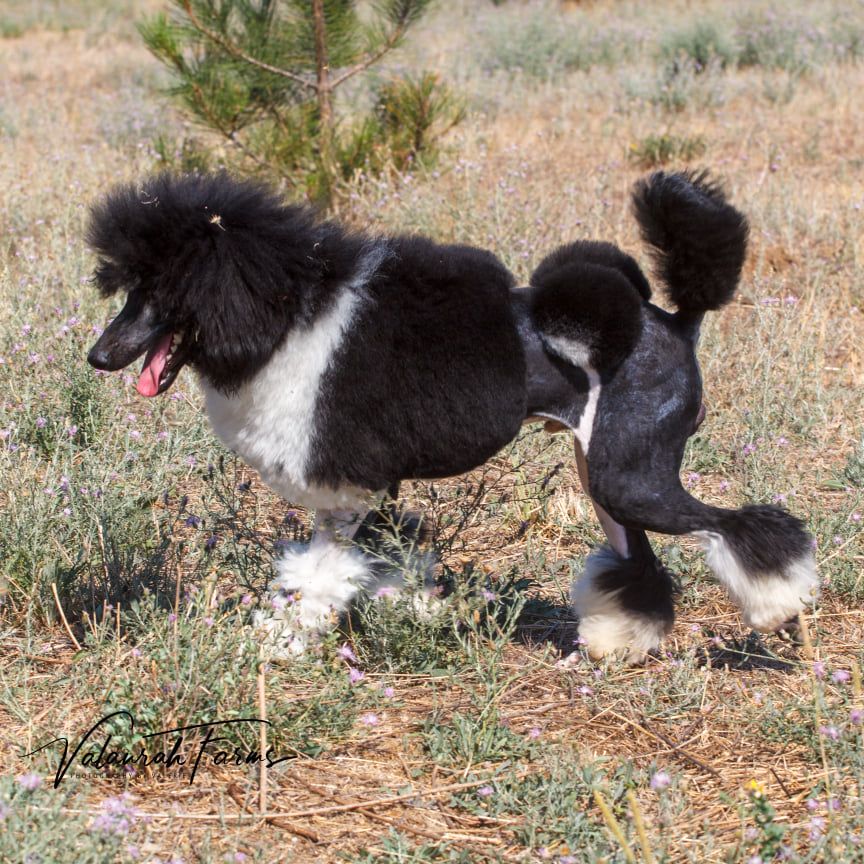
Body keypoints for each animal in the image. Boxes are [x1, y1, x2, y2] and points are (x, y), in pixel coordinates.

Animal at [86, 170, 818, 661]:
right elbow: (390, 555)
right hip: (603, 478)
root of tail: (674, 322)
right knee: (638, 564)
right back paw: (616, 644)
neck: (285, 318)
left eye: (165, 292)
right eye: (130, 288)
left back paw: (780, 606)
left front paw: (287, 640)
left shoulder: (347, 484)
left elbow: (323, 572)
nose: (99, 355)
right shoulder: (369, 487)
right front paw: (413, 609)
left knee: (742, 530)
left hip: (631, 476)